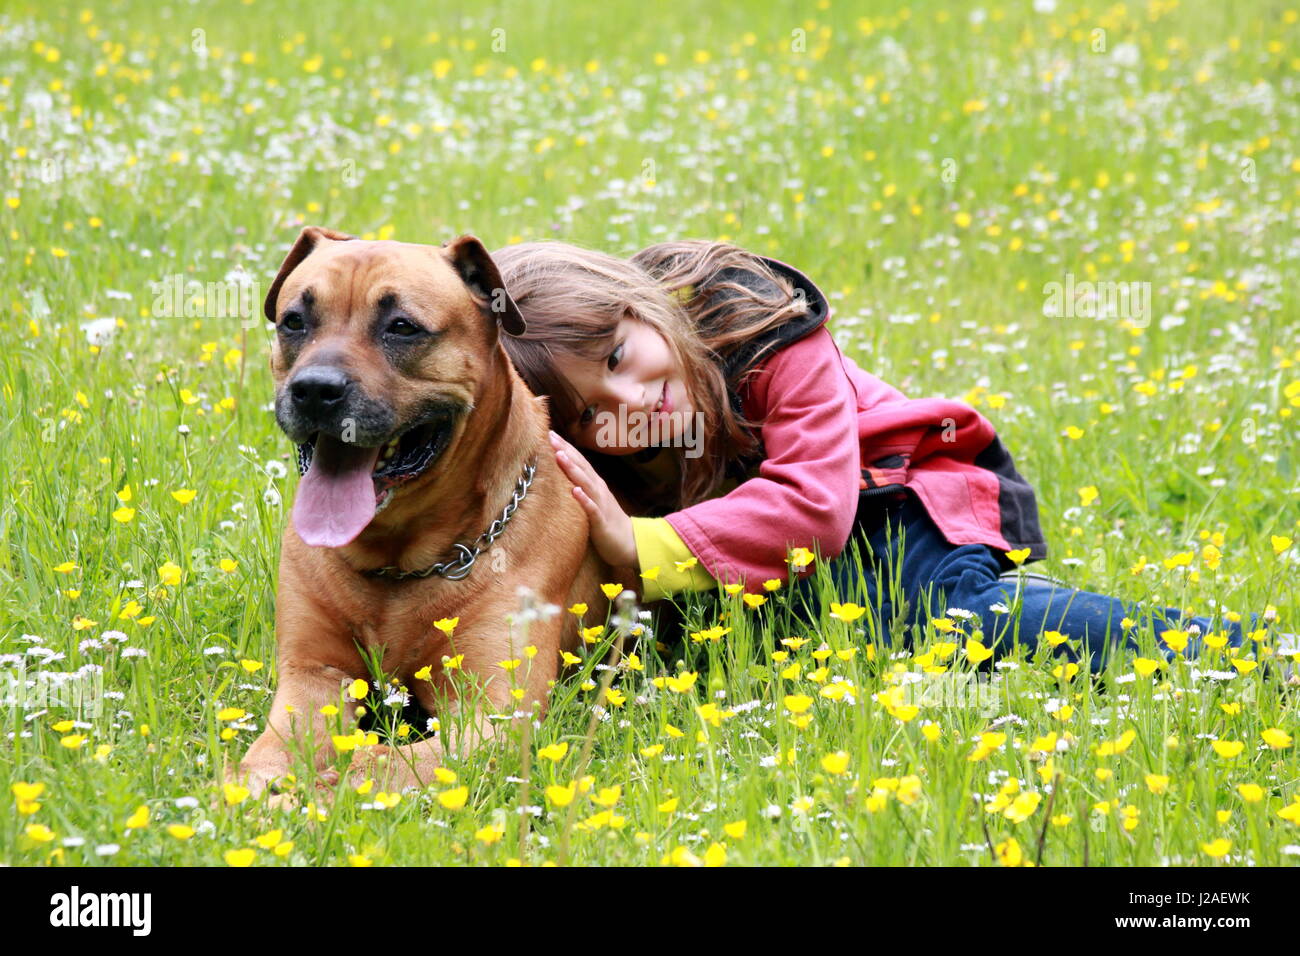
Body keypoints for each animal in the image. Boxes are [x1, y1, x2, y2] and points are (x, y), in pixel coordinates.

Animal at [240, 227, 634, 796]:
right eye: (294, 321)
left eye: (402, 327)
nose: (314, 389)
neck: (397, 558)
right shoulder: (313, 675)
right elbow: (270, 753)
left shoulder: (494, 709)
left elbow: (382, 764)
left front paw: (325, 793)